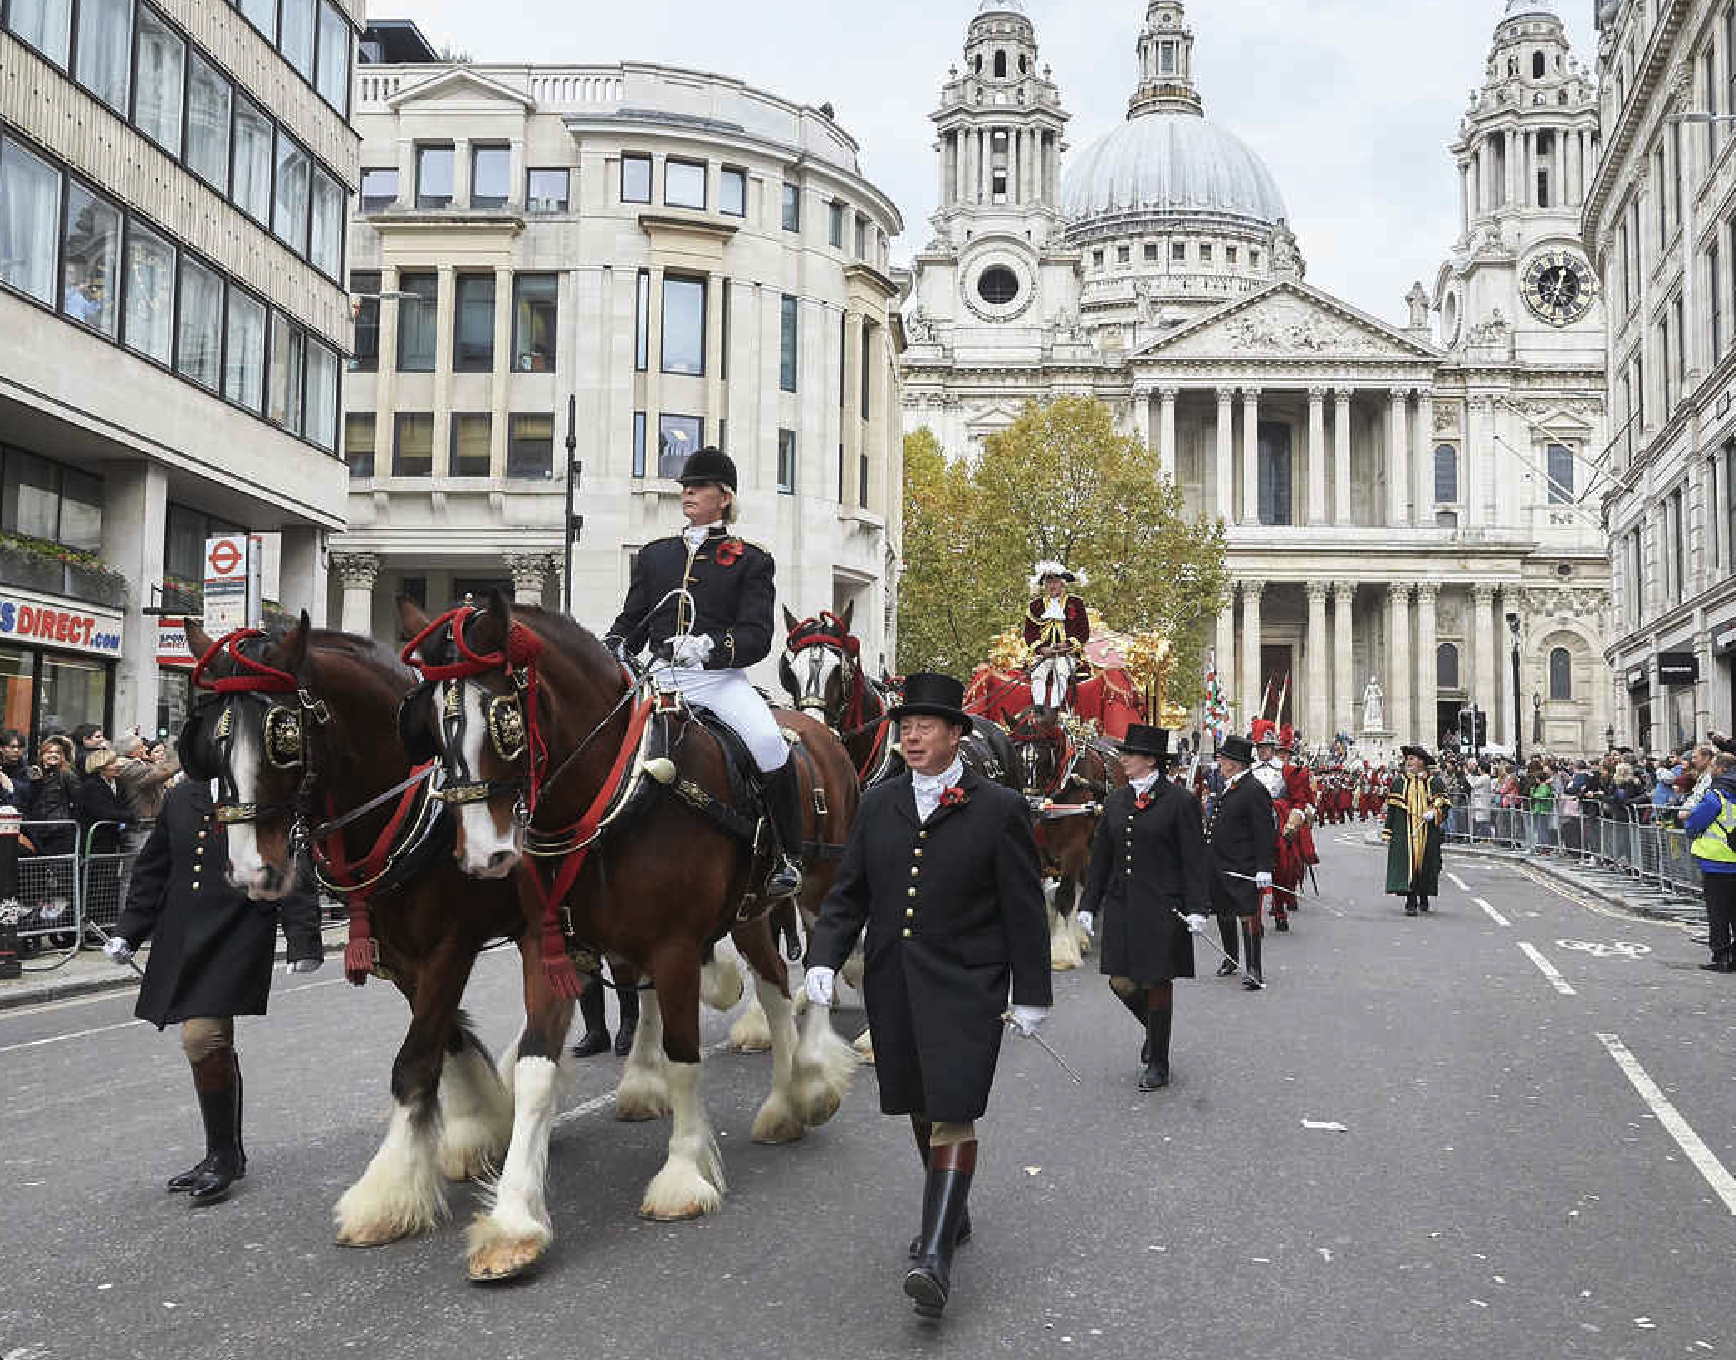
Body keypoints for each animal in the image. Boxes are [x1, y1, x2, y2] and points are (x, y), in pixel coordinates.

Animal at [178, 619, 528, 1258]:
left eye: (284, 737)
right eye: (211, 746)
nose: (250, 872)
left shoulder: (452, 943)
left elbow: (414, 1061)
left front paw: (386, 1198)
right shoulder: (404, 956)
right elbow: (443, 1039)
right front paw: (480, 1128)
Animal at [395, 594, 862, 1278]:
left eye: (504, 717)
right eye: (426, 725)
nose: (484, 855)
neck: (618, 789)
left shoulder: (674, 947)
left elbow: (684, 1054)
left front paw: (685, 1172)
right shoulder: (548, 947)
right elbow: (536, 1069)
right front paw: (514, 1220)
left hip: (810, 890)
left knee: (799, 980)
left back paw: (805, 1081)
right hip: (750, 913)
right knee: (775, 986)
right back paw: (789, 1098)